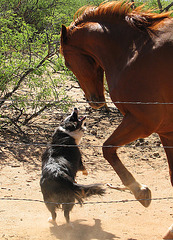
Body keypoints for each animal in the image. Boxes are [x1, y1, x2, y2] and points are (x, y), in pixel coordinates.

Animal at [60, 0, 172, 238]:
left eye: (67, 63)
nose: (94, 101)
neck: (135, 50)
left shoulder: (142, 121)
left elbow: (107, 148)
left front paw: (140, 192)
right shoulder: (167, 131)